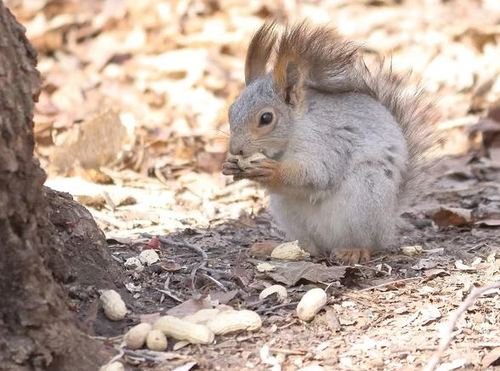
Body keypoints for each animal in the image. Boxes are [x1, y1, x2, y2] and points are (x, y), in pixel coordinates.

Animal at [221, 21, 436, 266]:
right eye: (231, 110)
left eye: (266, 118)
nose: (235, 149)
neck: (295, 131)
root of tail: (388, 224)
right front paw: (230, 165)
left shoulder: (327, 141)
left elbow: (319, 174)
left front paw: (272, 171)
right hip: (288, 211)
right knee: (310, 247)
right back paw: (275, 247)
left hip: (366, 194)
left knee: (368, 242)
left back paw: (354, 251)